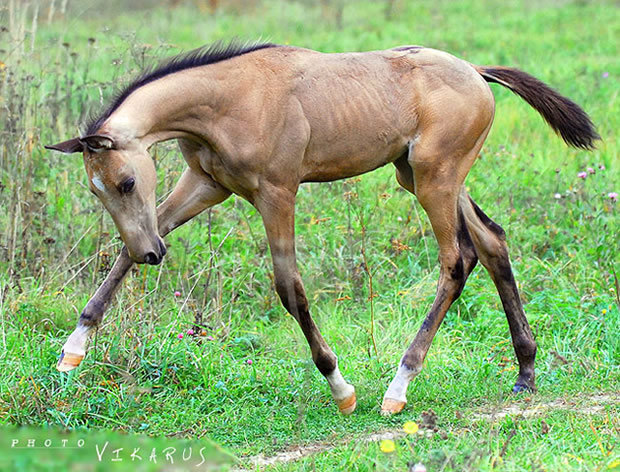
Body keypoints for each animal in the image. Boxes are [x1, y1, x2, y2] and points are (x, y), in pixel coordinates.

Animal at [46, 42, 600, 414]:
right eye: (96, 191)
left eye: (126, 181)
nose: (153, 255)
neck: (227, 102)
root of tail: (477, 72)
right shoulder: (206, 184)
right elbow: (123, 250)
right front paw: (72, 352)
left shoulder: (277, 193)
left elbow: (289, 289)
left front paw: (341, 388)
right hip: (421, 174)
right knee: (491, 242)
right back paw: (525, 372)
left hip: (435, 179)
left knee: (457, 260)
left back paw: (398, 388)